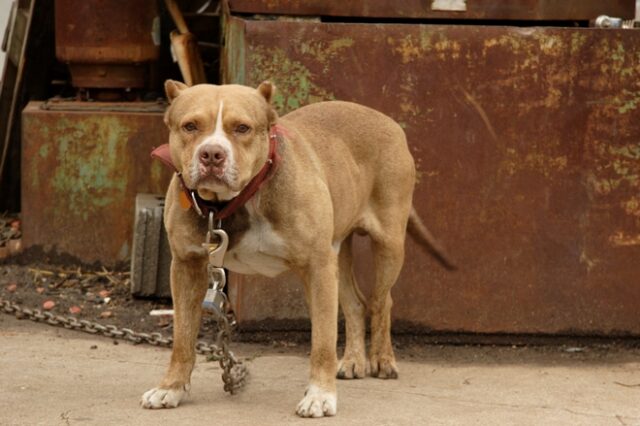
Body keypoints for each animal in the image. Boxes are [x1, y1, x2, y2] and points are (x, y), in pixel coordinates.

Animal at [141, 79, 452, 416]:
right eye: (190, 126)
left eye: (242, 128)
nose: (212, 154)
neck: (233, 203)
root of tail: (388, 121)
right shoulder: (186, 266)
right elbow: (182, 339)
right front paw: (171, 388)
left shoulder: (317, 267)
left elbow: (323, 342)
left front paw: (320, 396)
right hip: (339, 252)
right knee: (355, 303)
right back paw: (354, 360)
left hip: (388, 245)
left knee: (382, 302)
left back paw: (383, 360)